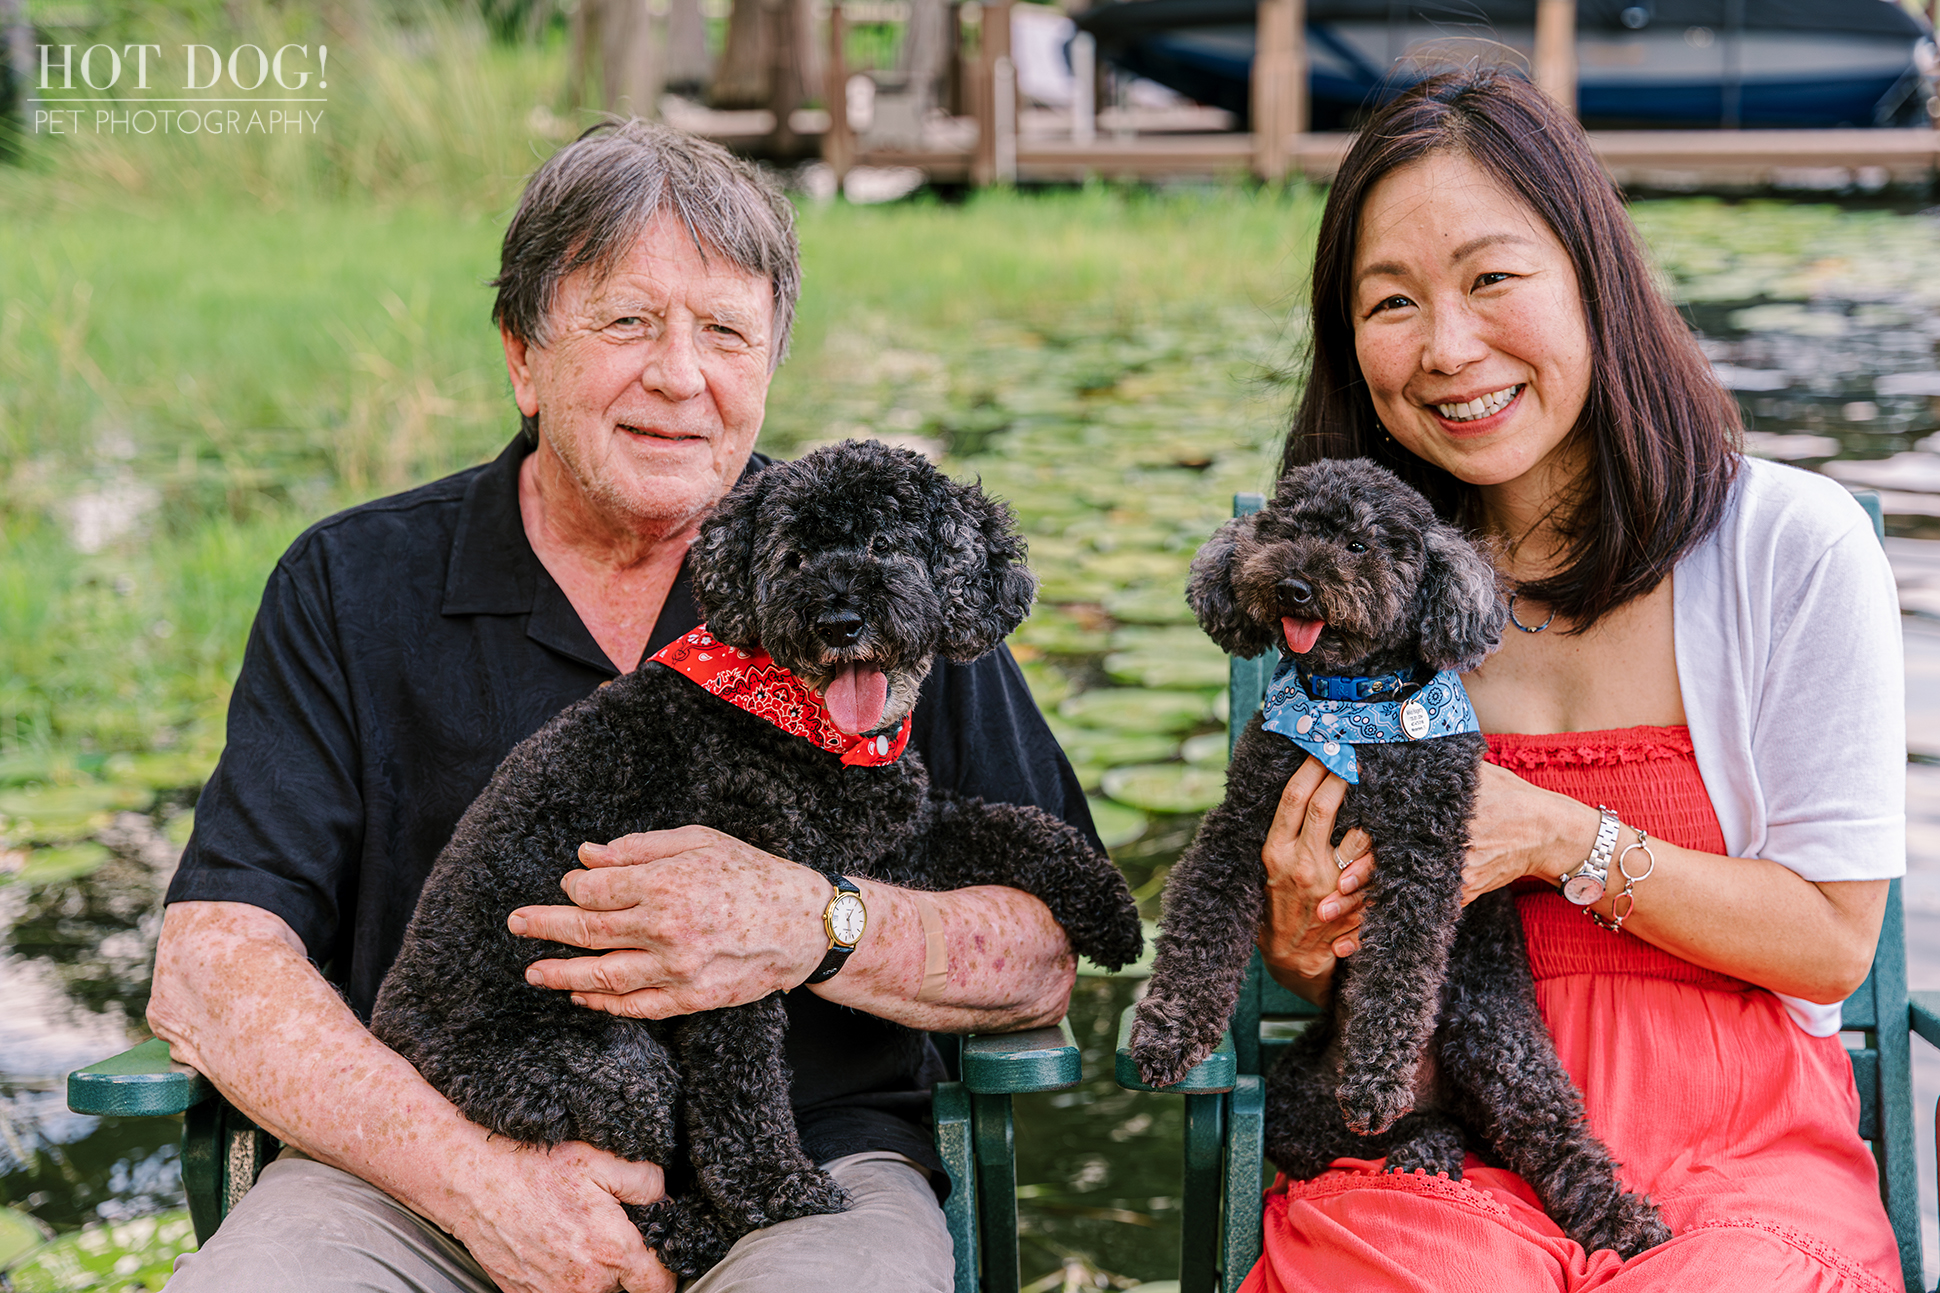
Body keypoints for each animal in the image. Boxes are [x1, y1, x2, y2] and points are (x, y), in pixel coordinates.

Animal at [370, 438, 1140, 1273]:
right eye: (793, 556)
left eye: (884, 543)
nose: (839, 618)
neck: (806, 730)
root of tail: (395, 1033)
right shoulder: (719, 959)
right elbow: (739, 1079)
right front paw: (775, 1190)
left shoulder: (893, 839)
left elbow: (1013, 823)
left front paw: (1113, 910)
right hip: (605, 1069)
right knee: (599, 1181)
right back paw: (686, 1227)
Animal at [1132, 458, 1676, 1250]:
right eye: (1281, 528)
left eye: (1361, 544)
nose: (1294, 586)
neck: (1350, 711)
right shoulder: (1239, 829)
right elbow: (1199, 933)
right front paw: (1167, 1033)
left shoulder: (1424, 858)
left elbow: (1396, 975)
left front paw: (1379, 1075)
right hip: (1298, 1099)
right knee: (1372, 1137)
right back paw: (1423, 1148)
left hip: (1500, 1046)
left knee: (1554, 1138)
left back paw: (1620, 1217)